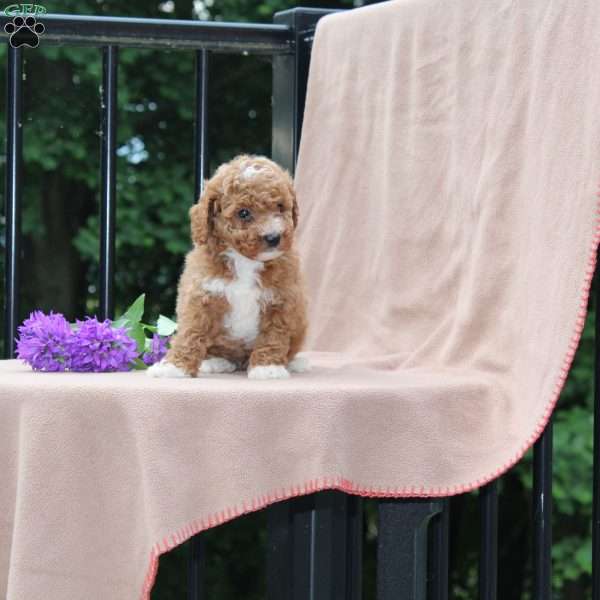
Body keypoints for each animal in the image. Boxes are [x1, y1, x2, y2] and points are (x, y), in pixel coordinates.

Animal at [149, 155, 310, 380]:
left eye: (280, 206)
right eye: (243, 213)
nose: (274, 237)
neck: (245, 261)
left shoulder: (281, 300)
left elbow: (273, 336)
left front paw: (267, 367)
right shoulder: (201, 296)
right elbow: (190, 333)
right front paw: (174, 367)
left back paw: (294, 362)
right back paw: (215, 361)